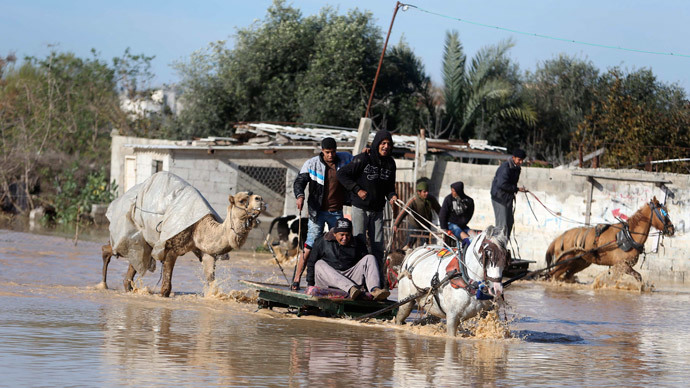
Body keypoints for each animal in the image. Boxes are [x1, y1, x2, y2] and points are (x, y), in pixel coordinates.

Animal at [101, 171, 264, 296]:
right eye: (242, 200)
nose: (260, 199)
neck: (199, 226)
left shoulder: (205, 251)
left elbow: (212, 281)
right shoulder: (171, 248)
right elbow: (166, 288)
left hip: (141, 241)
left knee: (135, 261)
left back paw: (126, 288)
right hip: (129, 229)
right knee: (110, 250)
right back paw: (103, 285)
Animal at [544, 197, 672, 282]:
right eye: (664, 212)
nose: (672, 229)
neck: (628, 236)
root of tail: (559, 238)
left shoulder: (620, 267)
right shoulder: (622, 265)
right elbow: (637, 277)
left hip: (579, 263)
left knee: (564, 275)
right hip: (565, 262)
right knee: (552, 274)